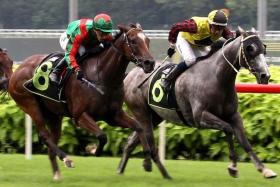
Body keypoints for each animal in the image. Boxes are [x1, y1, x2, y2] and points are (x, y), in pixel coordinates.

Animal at [7, 23, 155, 180]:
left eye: (148, 40)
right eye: (133, 41)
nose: (150, 63)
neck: (103, 77)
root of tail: (17, 70)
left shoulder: (113, 116)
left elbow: (139, 127)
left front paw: (147, 161)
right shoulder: (80, 116)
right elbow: (102, 136)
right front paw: (92, 149)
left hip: (54, 115)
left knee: (52, 140)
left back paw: (57, 174)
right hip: (30, 104)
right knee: (44, 135)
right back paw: (66, 158)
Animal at [117, 27, 276, 179]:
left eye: (263, 49)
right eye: (250, 49)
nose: (265, 76)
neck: (217, 77)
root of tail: (130, 74)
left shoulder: (234, 115)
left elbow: (244, 141)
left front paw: (264, 170)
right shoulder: (201, 117)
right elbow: (228, 129)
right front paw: (233, 167)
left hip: (155, 116)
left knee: (131, 141)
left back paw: (121, 170)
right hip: (142, 112)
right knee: (145, 140)